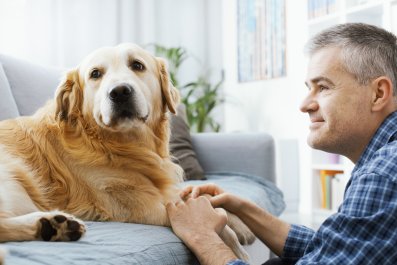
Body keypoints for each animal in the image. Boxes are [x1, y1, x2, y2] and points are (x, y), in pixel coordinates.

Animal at [0, 43, 254, 262]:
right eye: (95, 74)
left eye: (137, 65)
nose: (120, 92)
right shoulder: (138, 206)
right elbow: (215, 221)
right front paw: (238, 250)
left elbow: (209, 200)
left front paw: (240, 224)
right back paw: (50, 224)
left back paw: (52, 226)